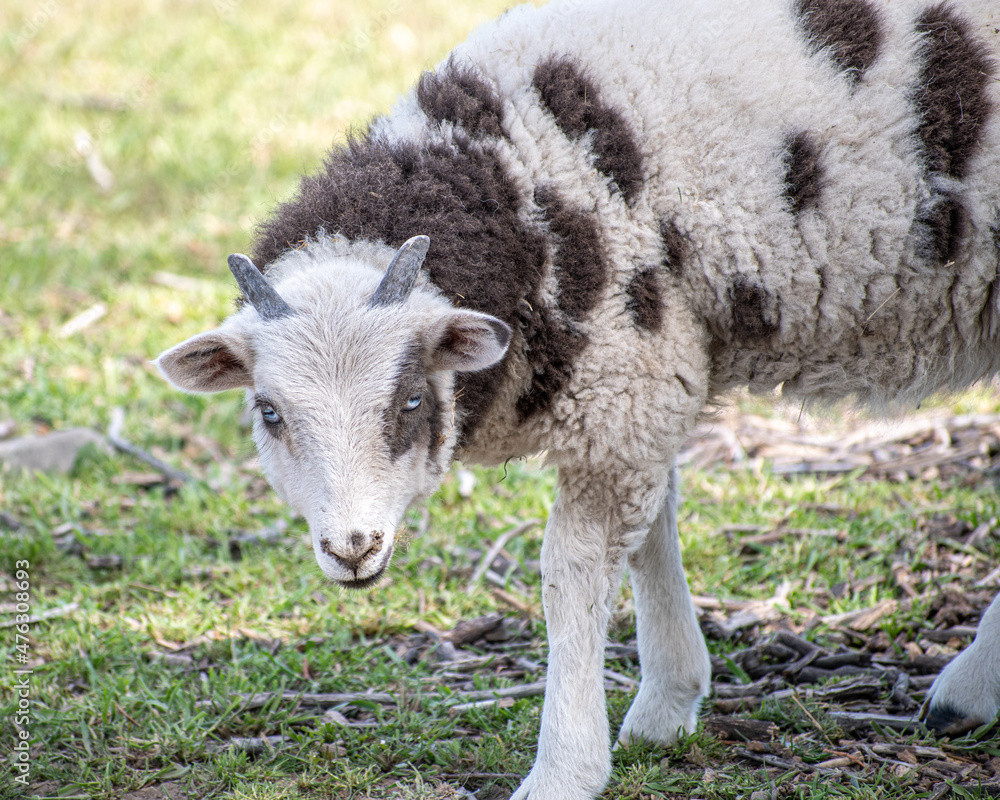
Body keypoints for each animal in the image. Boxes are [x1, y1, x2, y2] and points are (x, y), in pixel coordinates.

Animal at [157, 0, 1000, 796]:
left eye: (411, 403)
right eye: (270, 413)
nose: (352, 548)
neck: (523, 187)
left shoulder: (626, 375)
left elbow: (574, 572)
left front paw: (566, 768)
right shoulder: (647, 371)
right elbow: (654, 524)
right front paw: (670, 699)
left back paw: (967, 689)